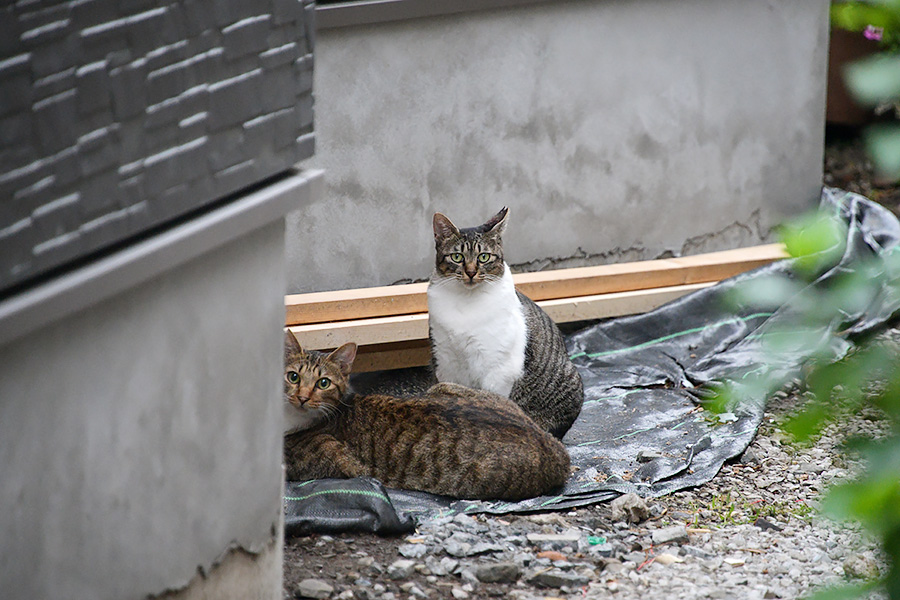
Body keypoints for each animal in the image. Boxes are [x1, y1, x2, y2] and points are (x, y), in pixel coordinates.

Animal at [428, 206, 584, 436]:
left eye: (484, 257)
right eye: (457, 256)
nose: (471, 272)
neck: (465, 302)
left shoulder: (498, 367)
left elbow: (492, 401)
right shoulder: (445, 361)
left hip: (569, 379)